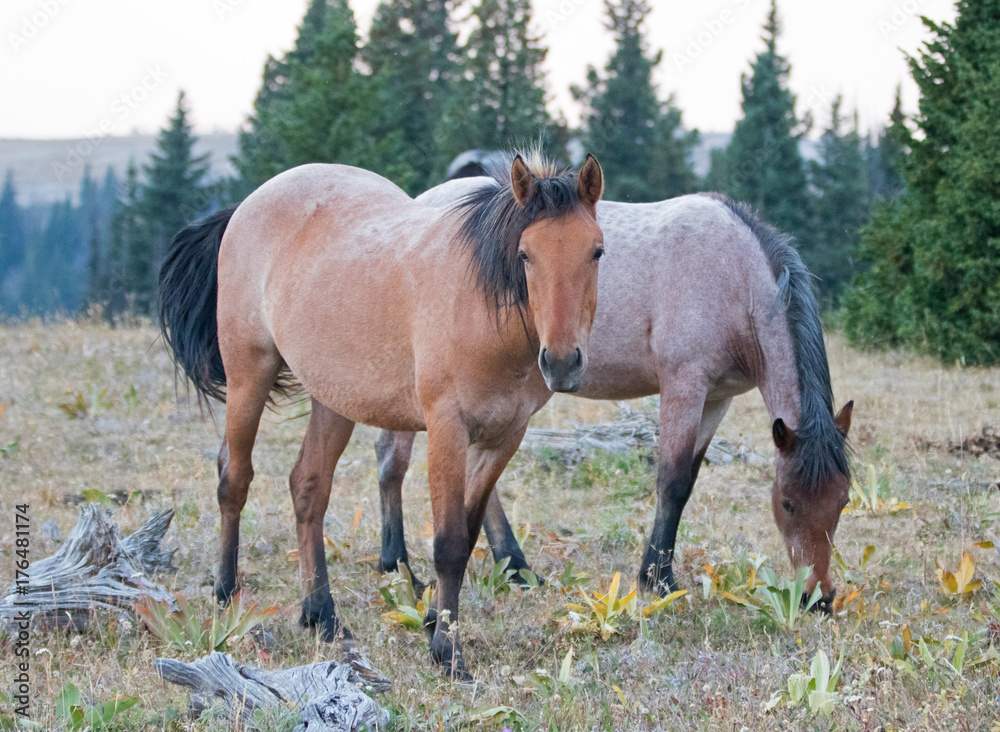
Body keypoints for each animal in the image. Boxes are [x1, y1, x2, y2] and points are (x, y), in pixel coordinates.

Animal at [157, 152, 606, 678]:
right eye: (525, 255)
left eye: (596, 252)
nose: (562, 361)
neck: (481, 311)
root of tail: (249, 204)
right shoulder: (446, 430)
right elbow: (450, 543)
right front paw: (447, 653)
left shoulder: (504, 437)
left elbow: (470, 530)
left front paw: (433, 622)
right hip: (250, 373)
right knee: (234, 478)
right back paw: (226, 594)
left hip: (333, 400)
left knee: (308, 487)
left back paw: (322, 615)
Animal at [371, 177, 853, 609]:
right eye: (788, 503)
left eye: (843, 501)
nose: (819, 598)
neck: (736, 277)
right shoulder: (684, 385)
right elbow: (672, 481)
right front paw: (657, 581)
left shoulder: (718, 398)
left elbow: (687, 482)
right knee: (393, 459)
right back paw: (401, 566)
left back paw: (515, 570)